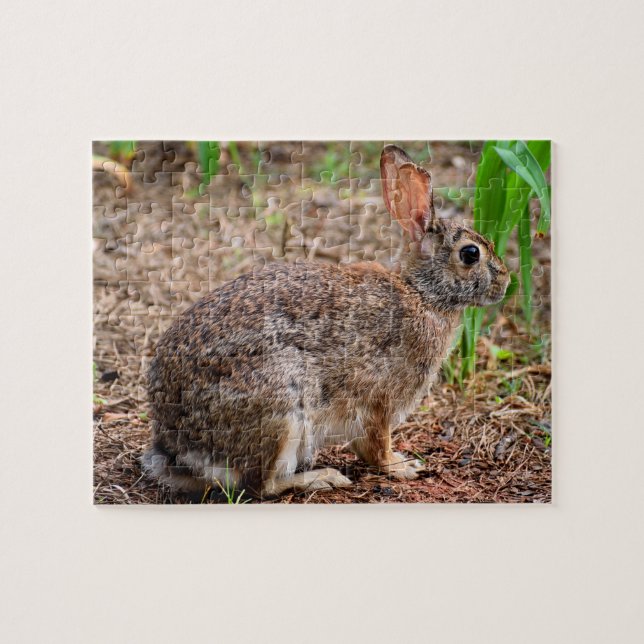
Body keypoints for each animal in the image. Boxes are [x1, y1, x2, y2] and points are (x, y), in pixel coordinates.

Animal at [142, 145, 510, 499]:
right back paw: (323, 478)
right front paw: (402, 467)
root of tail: (181, 449)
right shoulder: (379, 400)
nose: (506, 281)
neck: (420, 292)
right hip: (282, 408)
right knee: (259, 485)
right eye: (470, 254)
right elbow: (376, 445)